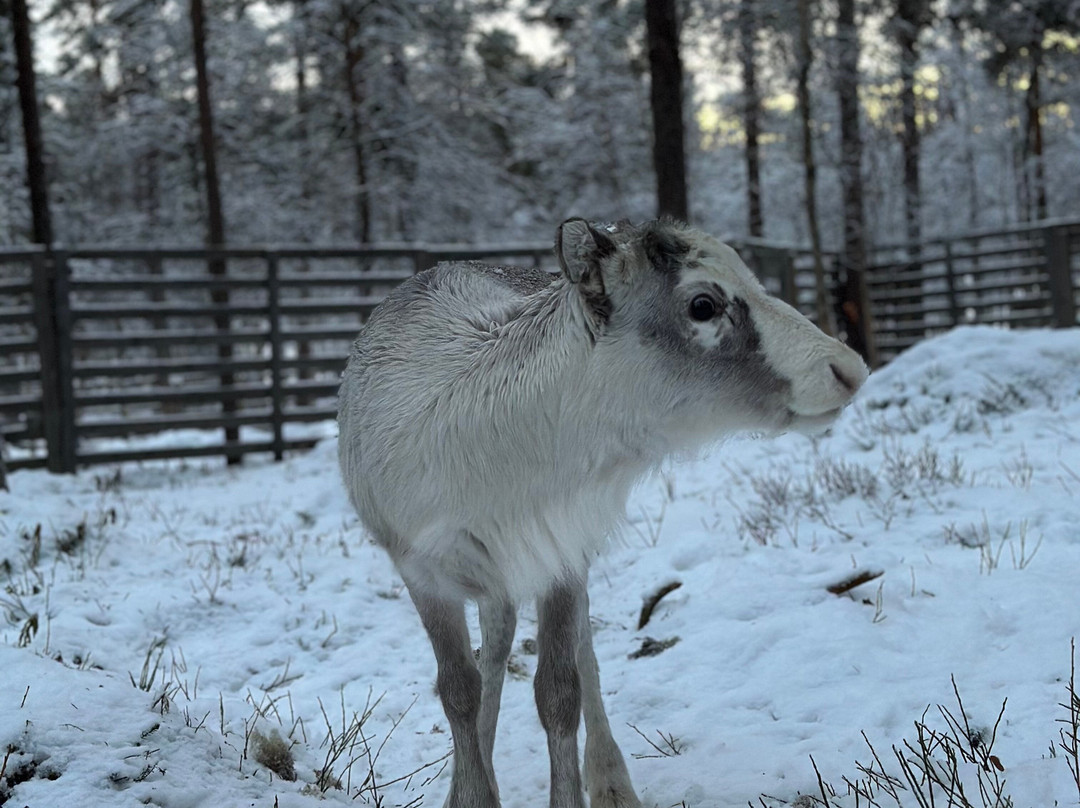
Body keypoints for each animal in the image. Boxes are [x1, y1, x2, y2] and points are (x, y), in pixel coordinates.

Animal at [337, 218, 868, 808]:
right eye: (702, 305)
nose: (847, 369)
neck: (499, 471)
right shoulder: (419, 568)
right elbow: (457, 691)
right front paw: (470, 794)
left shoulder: (563, 551)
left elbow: (559, 690)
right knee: (497, 639)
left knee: (576, 650)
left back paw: (612, 782)